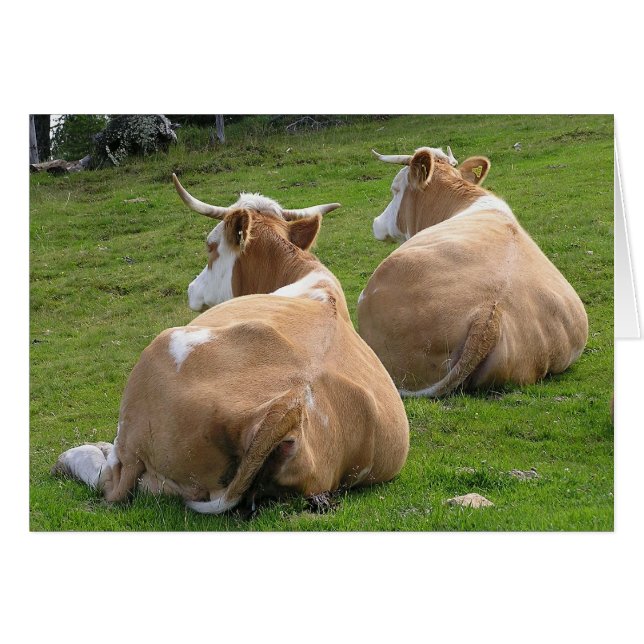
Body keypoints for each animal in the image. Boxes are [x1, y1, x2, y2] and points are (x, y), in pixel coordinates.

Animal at [52, 176, 410, 514]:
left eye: (210, 247)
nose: (191, 289)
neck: (306, 276)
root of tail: (288, 405)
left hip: (152, 365)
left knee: (115, 479)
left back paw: (76, 456)